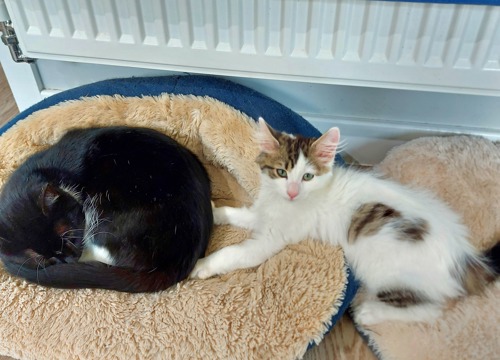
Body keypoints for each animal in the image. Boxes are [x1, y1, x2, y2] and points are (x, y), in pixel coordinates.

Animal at [189, 119, 498, 326]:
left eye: (307, 177)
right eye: (281, 172)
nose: (292, 192)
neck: (285, 203)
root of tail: (465, 259)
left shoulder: (272, 238)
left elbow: (234, 253)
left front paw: (202, 265)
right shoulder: (264, 210)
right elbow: (240, 212)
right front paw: (216, 212)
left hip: (382, 268)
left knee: (434, 309)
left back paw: (369, 313)